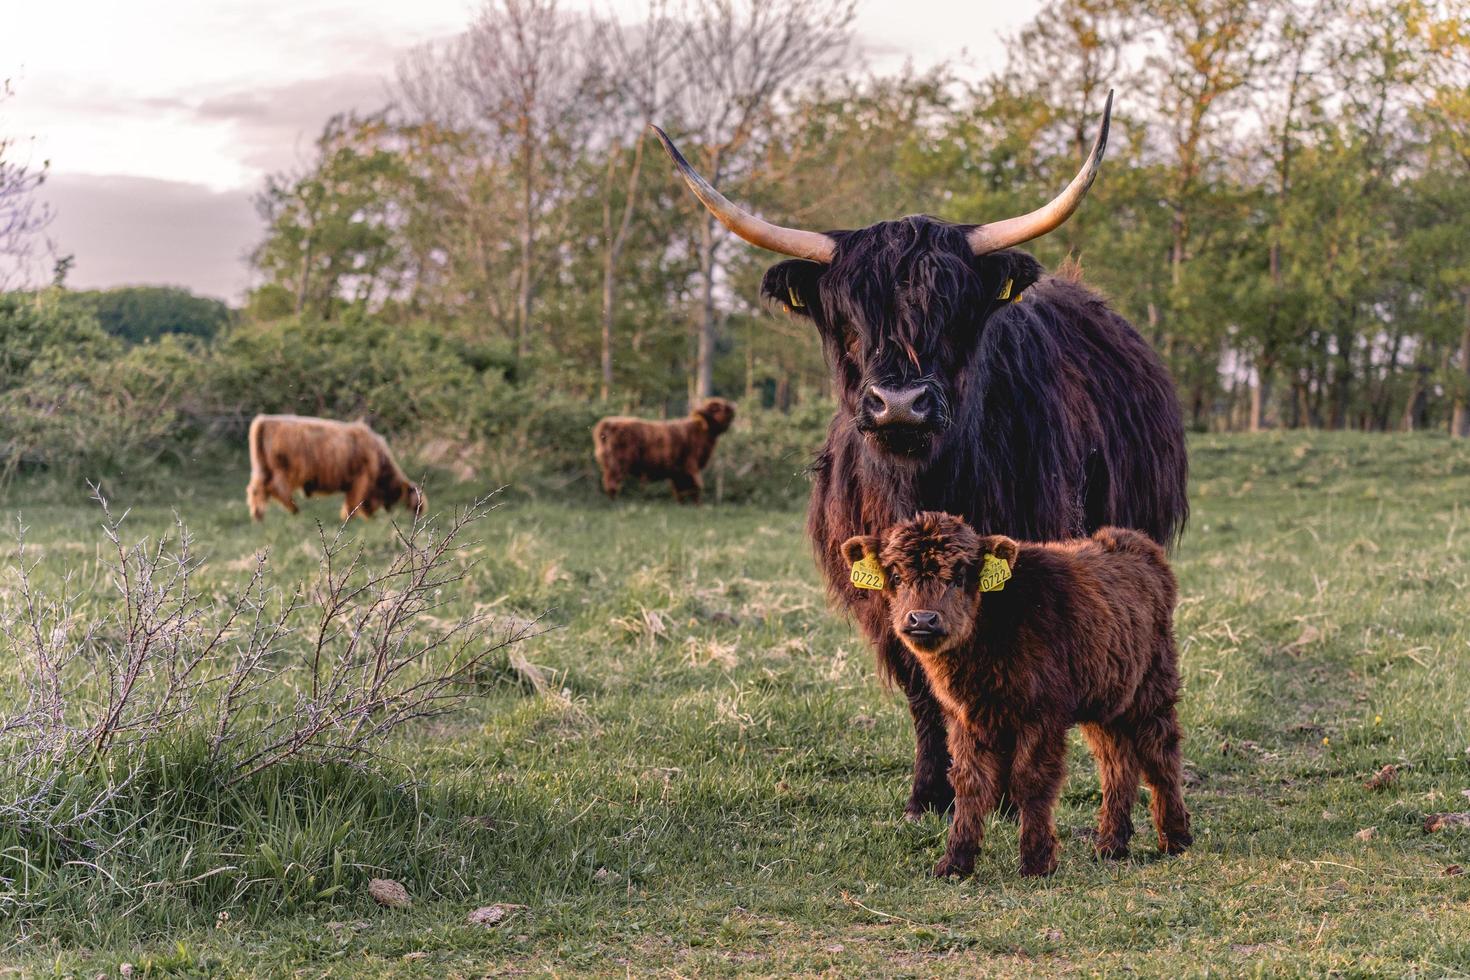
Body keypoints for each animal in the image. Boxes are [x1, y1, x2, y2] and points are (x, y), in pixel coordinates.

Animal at [246, 411, 426, 520]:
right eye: (416, 504)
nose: (419, 514)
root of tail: (265, 420)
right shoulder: (362, 477)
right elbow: (355, 500)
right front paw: (351, 517)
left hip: (263, 469)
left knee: (256, 489)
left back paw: (258, 514)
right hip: (284, 470)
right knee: (277, 488)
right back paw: (294, 510)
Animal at [590, 399, 735, 505]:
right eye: (716, 408)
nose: (731, 407)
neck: (701, 431)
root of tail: (607, 424)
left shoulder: (678, 471)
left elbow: (681, 489)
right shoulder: (691, 465)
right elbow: (695, 486)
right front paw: (698, 505)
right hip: (617, 464)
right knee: (611, 484)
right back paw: (615, 503)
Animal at [652, 94, 1181, 822]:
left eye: (955, 312)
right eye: (846, 317)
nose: (899, 405)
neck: (921, 487)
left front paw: (1007, 795)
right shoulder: (882, 595)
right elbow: (923, 686)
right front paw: (931, 792)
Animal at [846, 514, 1187, 881]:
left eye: (959, 577)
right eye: (896, 576)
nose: (922, 618)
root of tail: (1136, 543)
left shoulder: (1041, 714)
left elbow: (1030, 781)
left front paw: (1037, 861)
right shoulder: (964, 718)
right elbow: (969, 783)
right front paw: (955, 862)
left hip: (1153, 686)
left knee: (1160, 752)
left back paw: (1175, 838)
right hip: (1106, 700)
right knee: (1117, 763)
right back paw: (1111, 844)